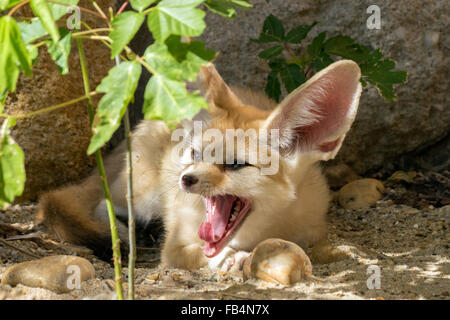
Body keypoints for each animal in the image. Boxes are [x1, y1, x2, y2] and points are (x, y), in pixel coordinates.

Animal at [37, 59, 364, 270]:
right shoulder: (174, 248)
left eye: (235, 164)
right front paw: (230, 259)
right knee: (101, 205)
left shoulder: (313, 229)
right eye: (194, 154)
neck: (258, 232)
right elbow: (202, 255)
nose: (186, 179)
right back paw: (126, 232)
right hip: (144, 194)